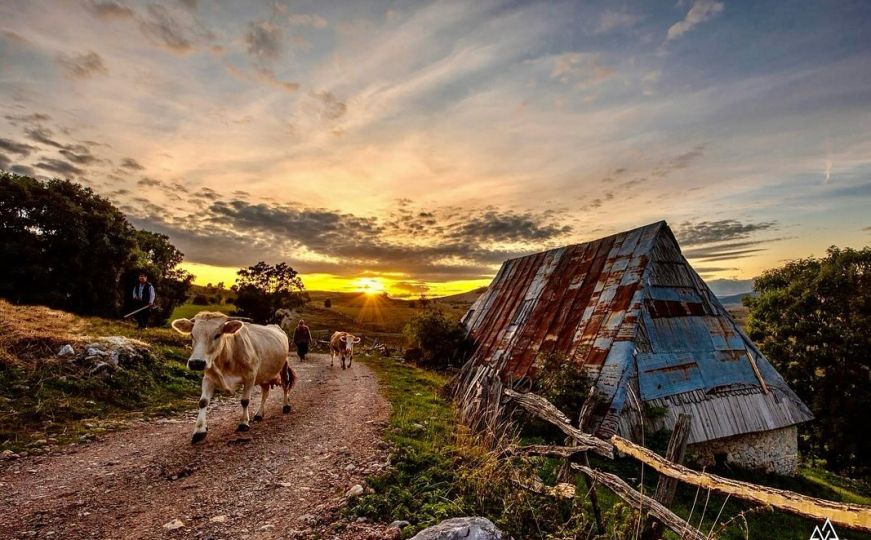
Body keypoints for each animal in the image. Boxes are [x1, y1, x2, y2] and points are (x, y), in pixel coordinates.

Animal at [172, 312, 298, 442]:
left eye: (217, 335)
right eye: (192, 334)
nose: (196, 363)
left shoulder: (250, 376)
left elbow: (245, 401)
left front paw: (243, 423)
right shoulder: (208, 378)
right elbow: (203, 402)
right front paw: (199, 430)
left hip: (284, 366)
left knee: (285, 385)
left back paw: (286, 406)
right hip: (264, 374)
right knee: (265, 393)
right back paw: (259, 414)